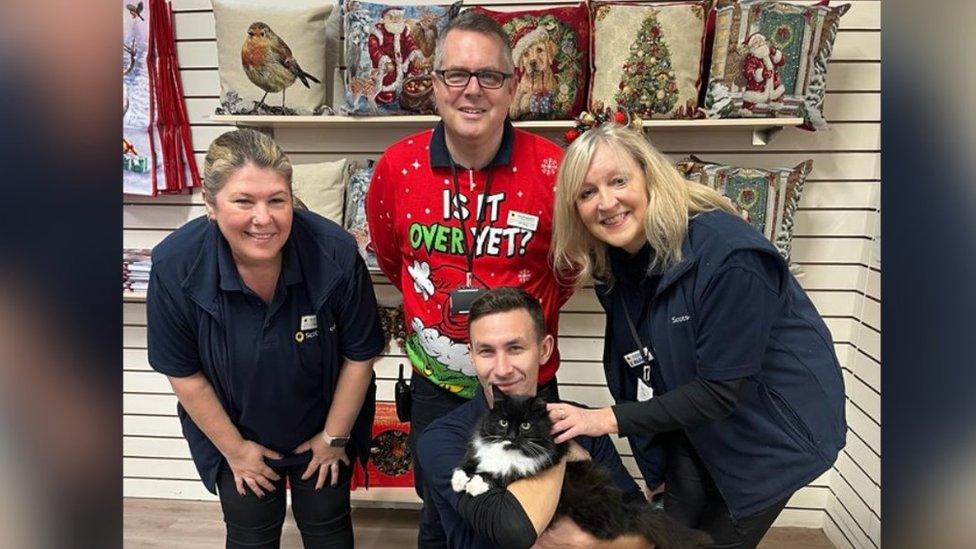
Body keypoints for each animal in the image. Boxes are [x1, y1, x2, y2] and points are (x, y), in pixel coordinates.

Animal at [450, 388, 708, 544]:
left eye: (525, 425)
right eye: (503, 422)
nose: (512, 436)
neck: (508, 451)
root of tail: (625, 510)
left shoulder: (535, 463)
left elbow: (500, 475)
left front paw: (475, 485)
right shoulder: (481, 451)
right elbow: (471, 461)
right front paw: (459, 479)